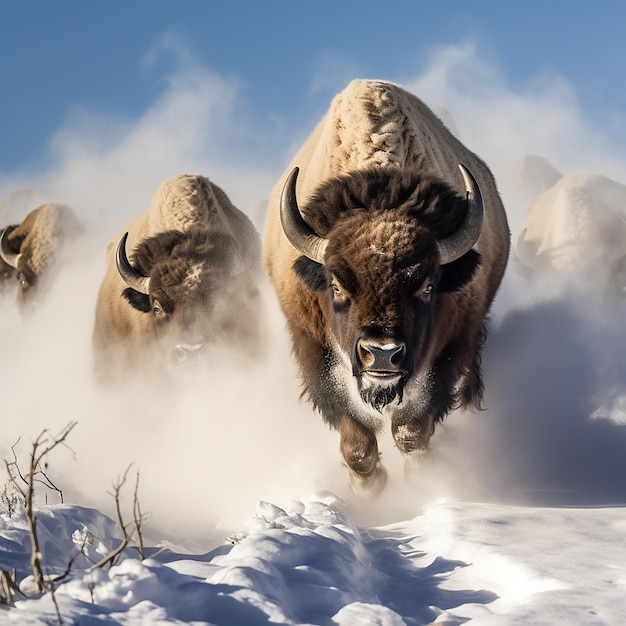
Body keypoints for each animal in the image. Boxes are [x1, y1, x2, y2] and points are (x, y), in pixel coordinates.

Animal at [260, 80, 510, 494]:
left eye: (427, 286)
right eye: (336, 285)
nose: (381, 354)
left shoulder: (448, 348)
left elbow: (411, 429)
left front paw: (423, 481)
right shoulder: (315, 349)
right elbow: (356, 438)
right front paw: (370, 489)